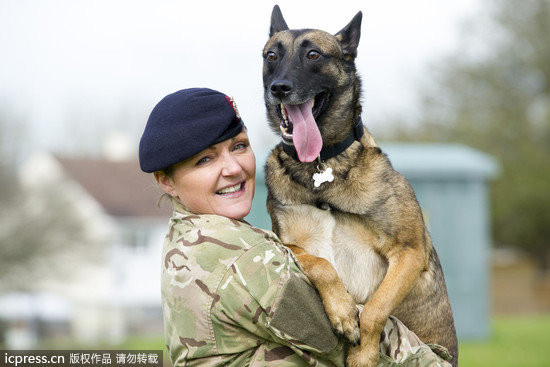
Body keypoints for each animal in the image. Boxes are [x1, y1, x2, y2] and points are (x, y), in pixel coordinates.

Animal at [264, 5, 462, 367]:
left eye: (313, 54)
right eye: (271, 55)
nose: (279, 88)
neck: (321, 167)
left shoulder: (408, 252)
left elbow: (375, 310)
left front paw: (363, 354)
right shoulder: (289, 245)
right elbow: (322, 265)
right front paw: (342, 311)